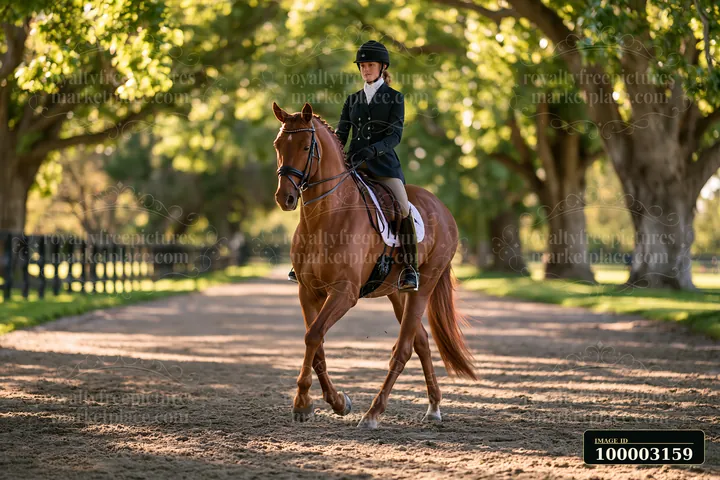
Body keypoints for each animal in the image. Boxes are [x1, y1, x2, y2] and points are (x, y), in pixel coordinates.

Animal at [272, 101, 476, 429]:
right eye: (278, 146)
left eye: (305, 146)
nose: (285, 198)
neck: (326, 217)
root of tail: (442, 209)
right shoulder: (308, 292)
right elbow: (316, 345)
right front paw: (337, 402)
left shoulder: (344, 293)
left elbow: (313, 336)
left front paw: (303, 403)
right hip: (396, 292)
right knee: (420, 340)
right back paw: (433, 407)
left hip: (424, 286)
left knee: (403, 348)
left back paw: (373, 413)